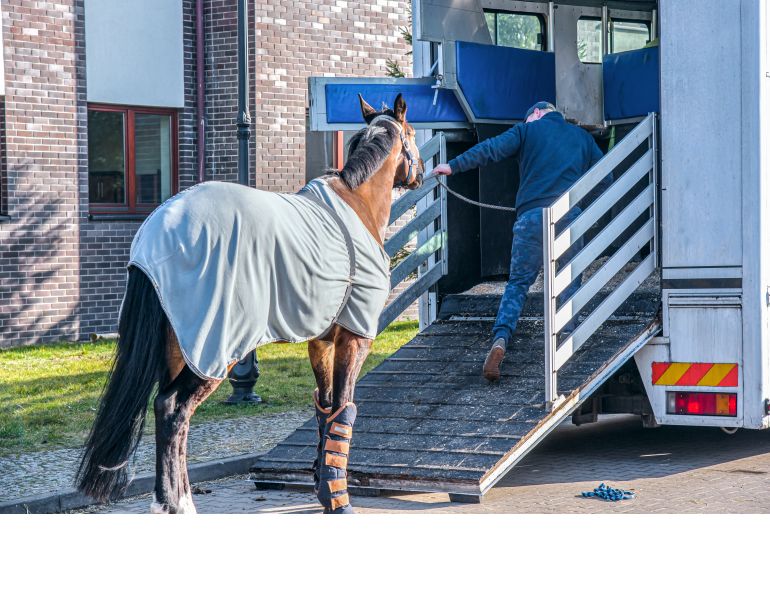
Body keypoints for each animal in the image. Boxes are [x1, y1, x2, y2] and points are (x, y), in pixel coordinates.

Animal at [76, 93, 424, 514]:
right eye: (412, 133)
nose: (421, 174)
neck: (356, 203)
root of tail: (154, 235)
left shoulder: (321, 341)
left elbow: (325, 409)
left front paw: (325, 490)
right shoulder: (355, 337)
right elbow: (344, 407)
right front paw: (339, 500)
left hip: (179, 347)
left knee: (169, 413)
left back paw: (177, 499)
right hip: (213, 349)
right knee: (174, 409)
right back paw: (175, 506)